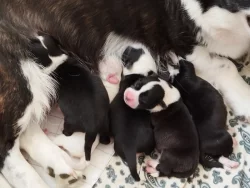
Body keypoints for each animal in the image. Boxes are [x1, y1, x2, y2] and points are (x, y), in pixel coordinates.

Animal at [109, 44, 156, 181]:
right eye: (142, 50)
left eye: (127, 54)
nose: (128, 45)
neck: (139, 73)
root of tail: (131, 146)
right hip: (150, 140)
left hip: (118, 145)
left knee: (120, 154)